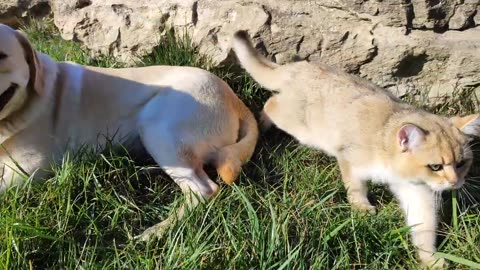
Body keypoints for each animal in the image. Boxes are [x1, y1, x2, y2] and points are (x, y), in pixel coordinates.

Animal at [0, 22, 258, 238]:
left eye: (2, 55)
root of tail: (235, 99)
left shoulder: (29, 168)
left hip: (157, 124)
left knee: (203, 189)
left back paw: (155, 232)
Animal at [232, 30, 476, 268]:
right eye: (435, 166)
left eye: (461, 164)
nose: (455, 182)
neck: (386, 148)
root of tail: (299, 66)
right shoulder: (351, 160)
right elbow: (356, 188)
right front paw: (362, 209)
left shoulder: (416, 191)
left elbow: (424, 227)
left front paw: (430, 259)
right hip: (301, 127)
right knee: (270, 103)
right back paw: (262, 124)